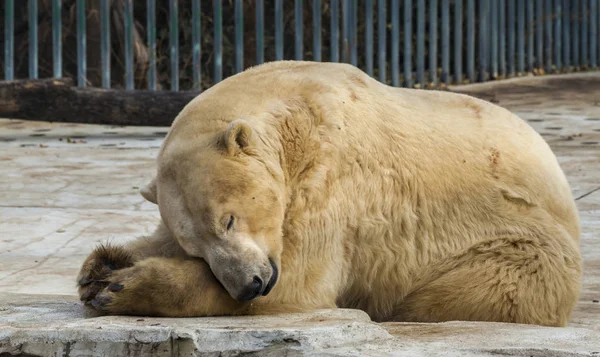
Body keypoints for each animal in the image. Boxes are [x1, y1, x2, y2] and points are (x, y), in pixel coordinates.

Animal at [76, 60, 580, 326]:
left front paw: (121, 288)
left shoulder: (336, 178)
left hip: (514, 244)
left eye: (229, 219)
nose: (249, 284)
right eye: (194, 245)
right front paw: (101, 267)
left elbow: (304, 280)